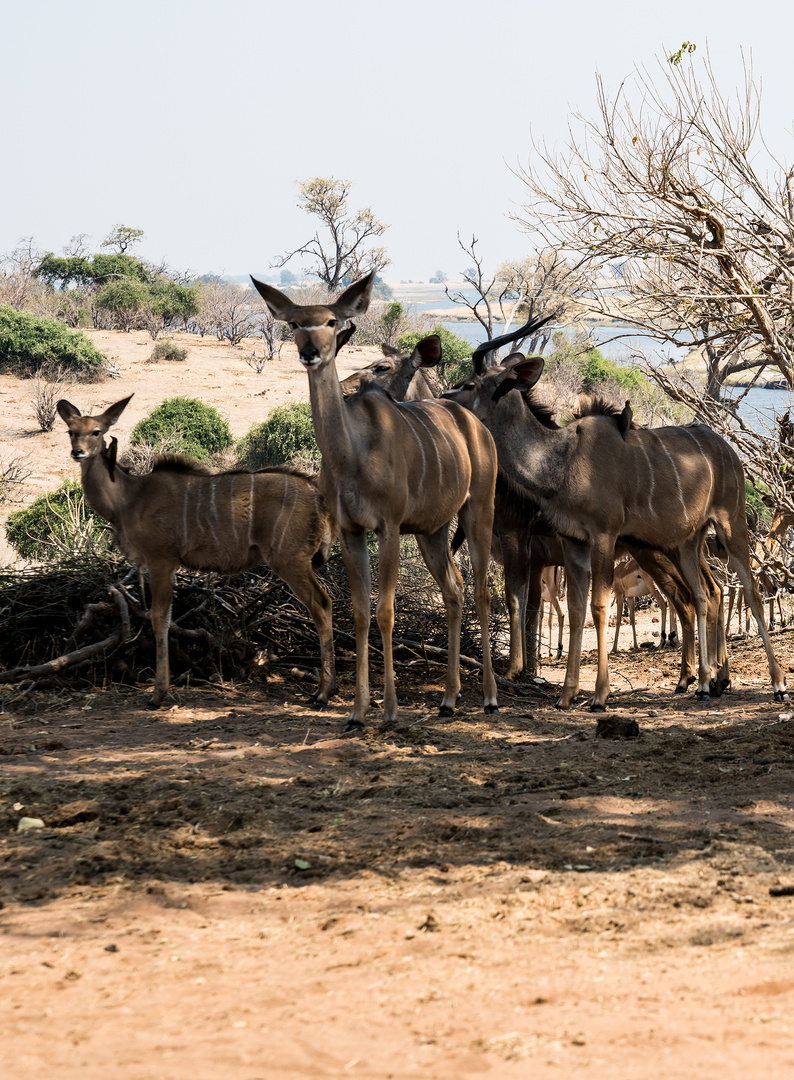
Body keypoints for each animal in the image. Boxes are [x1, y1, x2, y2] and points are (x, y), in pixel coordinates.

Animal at [57, 395, 337, 708]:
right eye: (71, 431)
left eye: (97, 431)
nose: (77, 452)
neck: (129, 498)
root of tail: (320, 497)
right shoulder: (167, 565)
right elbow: (167, 618)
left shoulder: (161, 560)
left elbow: (159, 618)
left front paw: (158, 694)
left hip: (289, 561)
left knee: (322, 604)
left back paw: (323, 693)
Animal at [251, 270, 499, 730]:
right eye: (294, 323)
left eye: (332, 320)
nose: (311, 353)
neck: (352, 452)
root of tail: (475, 424)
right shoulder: (351, 531)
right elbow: (358, 611)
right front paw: (356, 712)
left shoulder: (388, 529)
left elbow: (385, 611)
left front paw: (389, 710)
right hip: (432, 531)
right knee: (454, 591)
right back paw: (448, 700)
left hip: (478, 511)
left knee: (482, 591)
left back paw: (490, 698)